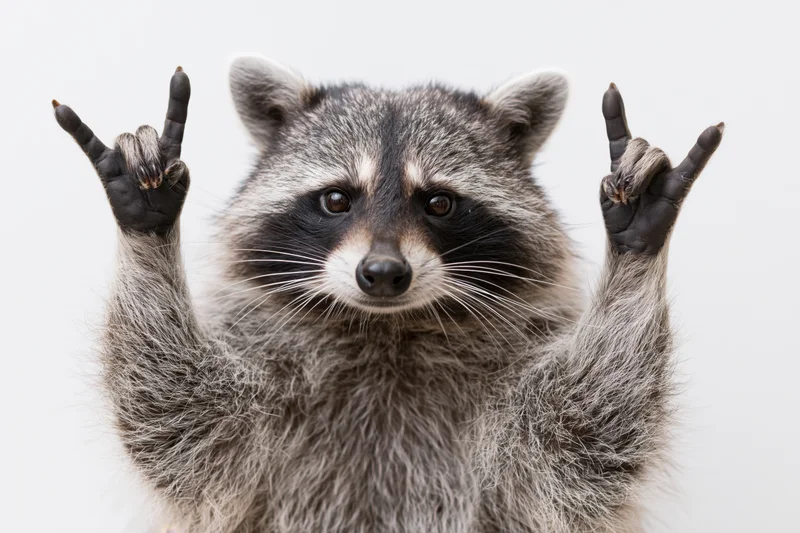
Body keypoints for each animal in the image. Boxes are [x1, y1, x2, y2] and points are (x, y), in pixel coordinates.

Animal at [53, 57, 723, 533]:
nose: (381, 273)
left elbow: (588, 438)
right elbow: (176, 414)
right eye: (336, 199)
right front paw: (147, 219)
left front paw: (635, 242)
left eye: (439, 203)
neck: (385, 331)